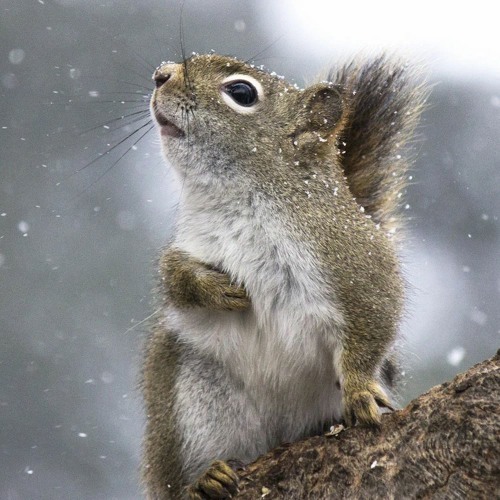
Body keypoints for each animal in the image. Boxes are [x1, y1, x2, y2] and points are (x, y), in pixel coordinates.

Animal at [141, 52, 426, 498]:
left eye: (242, 92)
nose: (161, 74)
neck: (234, 197)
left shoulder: (356, 258)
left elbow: (373, 318)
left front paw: (360, 390)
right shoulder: (187, 245)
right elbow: (173, 278)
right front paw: (214, 289)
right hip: (189, 401)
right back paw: (205, 480)